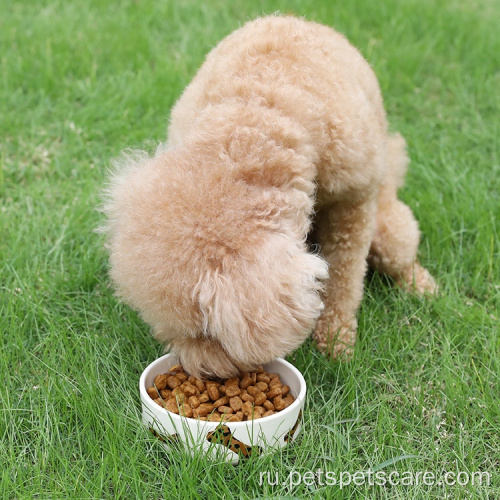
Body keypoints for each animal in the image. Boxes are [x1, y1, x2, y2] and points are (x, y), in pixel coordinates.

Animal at [102, 15, 438, 376]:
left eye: (206, 332)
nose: (200, 370)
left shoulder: (355, 201)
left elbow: (344, 275)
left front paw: (337, 341)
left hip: (388, 225)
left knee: (400, 254)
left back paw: (422, 286)